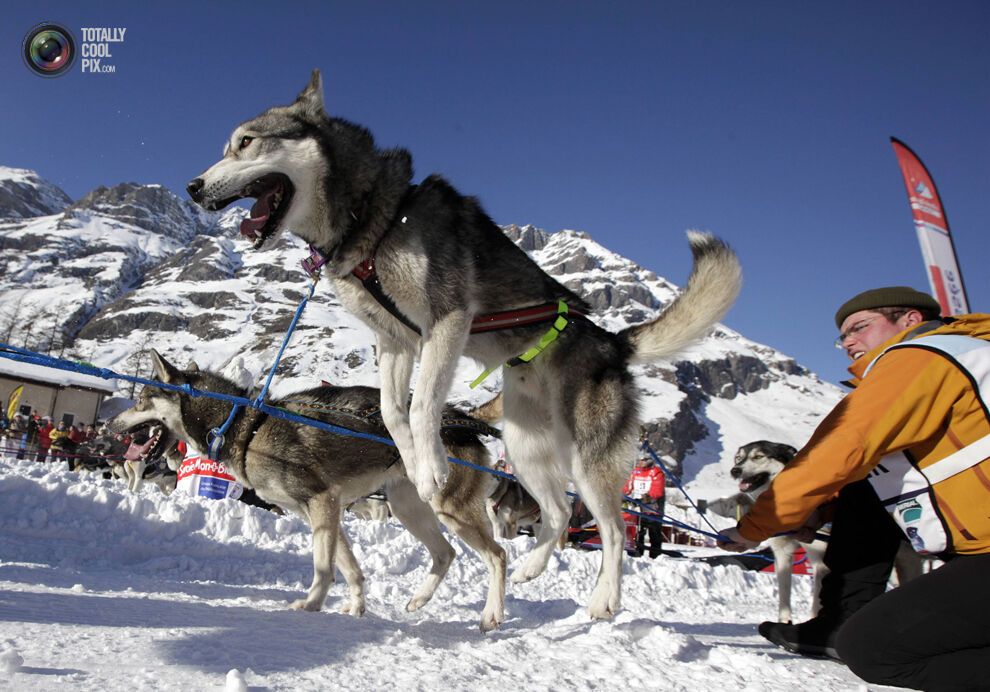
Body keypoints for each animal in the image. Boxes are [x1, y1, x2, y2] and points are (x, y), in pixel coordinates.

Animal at [112, 352, 508, 632]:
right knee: (445, 553)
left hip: (449, 509)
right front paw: (355, 608)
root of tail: (462, 416)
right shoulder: (321, 512)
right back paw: (419, 600)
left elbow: (323, 567)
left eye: (142, 399)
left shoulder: (321, 501)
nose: (111, 423)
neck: (243, 424)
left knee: (498, 555)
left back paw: (491, 615)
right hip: (408, 507)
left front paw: (311, 605)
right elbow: (349, 568)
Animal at [188, 71, 744, 620]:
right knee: (559, 510)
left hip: (588, 456)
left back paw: (604, 598)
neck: (371, 217)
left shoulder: (447, 322)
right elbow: (392, 412)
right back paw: (531, 566)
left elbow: (422, 407)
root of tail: (612, 342)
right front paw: (415, 465)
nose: (193, 186)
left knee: (610, 527)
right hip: (524, 446)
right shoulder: (395, 341)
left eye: (246, 142)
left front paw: (433, 467)